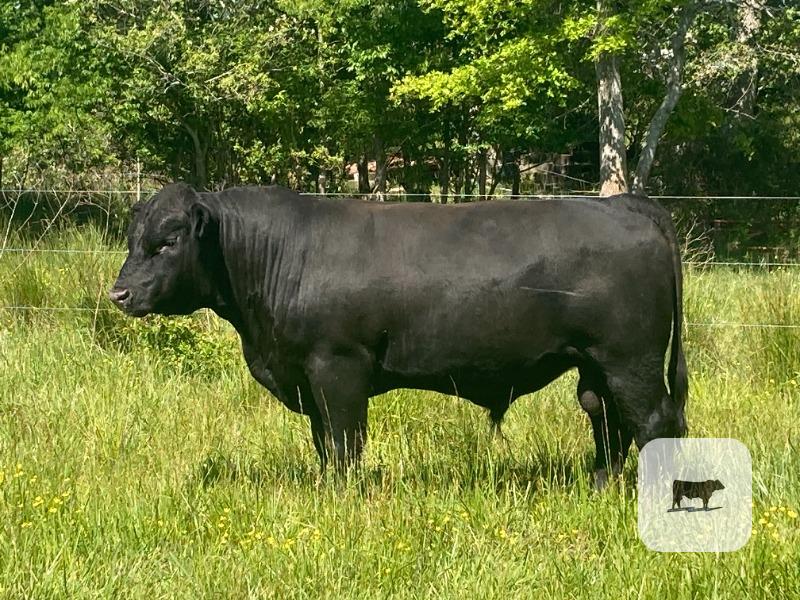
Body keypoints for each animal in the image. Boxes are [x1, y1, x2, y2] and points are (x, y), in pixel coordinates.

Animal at [109, 183, 688, 489]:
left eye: (168, 241)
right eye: (134, 238)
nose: (119, 293)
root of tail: (621, 203)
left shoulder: (338, 367)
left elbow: (343, 440)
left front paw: (341, 498)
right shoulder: (309, 377)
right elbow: (323, 442)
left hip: (629, 358)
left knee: (654, 419)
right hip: (596, 362)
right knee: (606, 417)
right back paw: (598, 486)